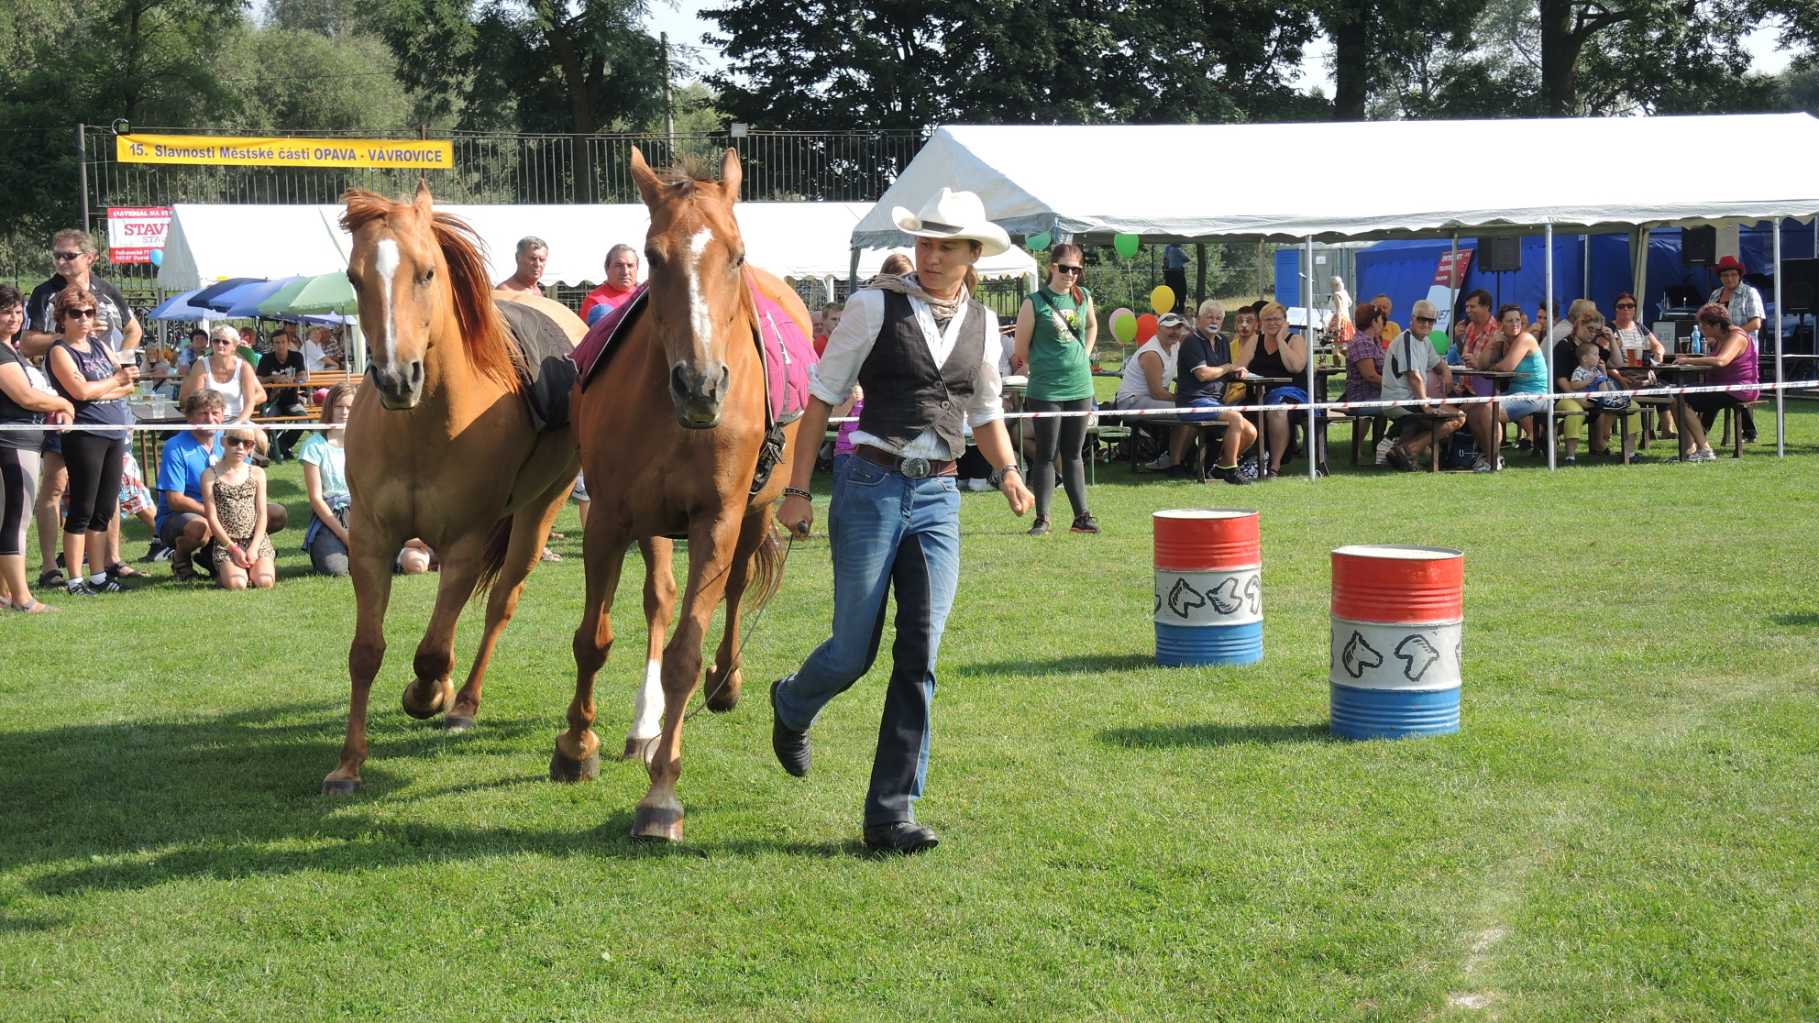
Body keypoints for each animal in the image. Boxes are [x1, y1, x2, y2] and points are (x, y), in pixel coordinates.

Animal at [320, 181, 676, 790]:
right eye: (354, 276)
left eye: (426, 272)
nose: (396, 378)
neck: (424, 425)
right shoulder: (369, 540)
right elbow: (366, 651)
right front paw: (348, 764)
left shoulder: (464, 542)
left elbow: (432, 652)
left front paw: (427, 694)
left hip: (550, 510)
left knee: (541, 598)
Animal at [556, 149, 807, 837]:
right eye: (653, 254)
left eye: (737, 254)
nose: (700, 385)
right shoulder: (609, 518)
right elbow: (594, 639)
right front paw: (577, 746)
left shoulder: (715, 520)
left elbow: (685, 656)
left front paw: (662, 794)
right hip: (652, 524)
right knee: (659, 600)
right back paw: (643, 726)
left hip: (757, 512)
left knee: (738, 589)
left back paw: (727, 682)